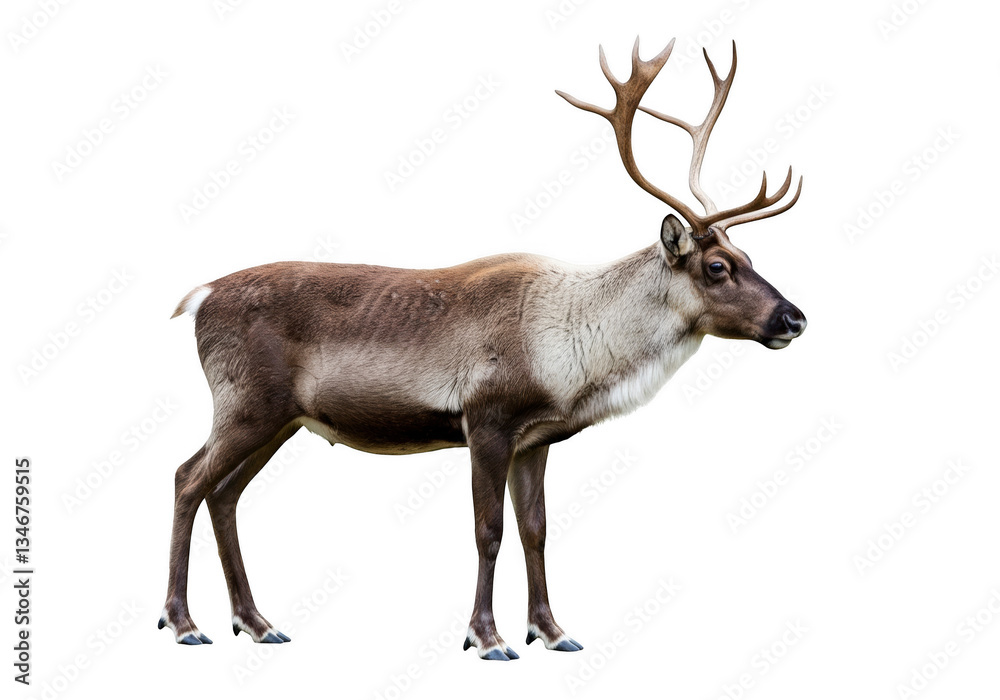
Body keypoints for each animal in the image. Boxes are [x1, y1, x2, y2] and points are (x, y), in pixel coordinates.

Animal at [159, 37, 807, 660]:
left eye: (751, 257)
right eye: (718, 267)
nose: (794, 317)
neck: (573, 355)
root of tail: (198, 298)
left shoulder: (536, 439)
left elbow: (535, 531)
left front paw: (552, 631)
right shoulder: (486, 420)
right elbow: (488, 531)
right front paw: (487, 637)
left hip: (281, 420)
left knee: (223, 494)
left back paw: (256, 623)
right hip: (246, 404)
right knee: (188, 478)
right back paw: (184, 623)